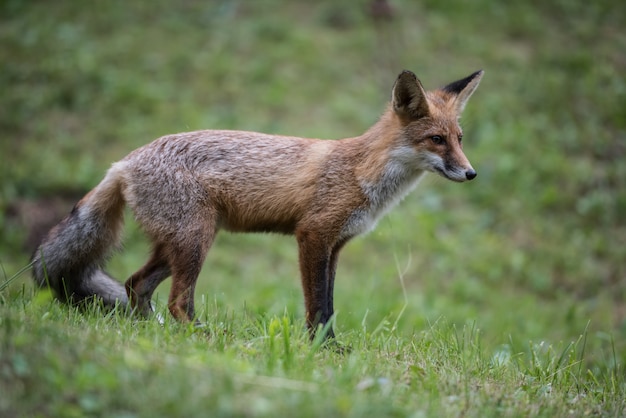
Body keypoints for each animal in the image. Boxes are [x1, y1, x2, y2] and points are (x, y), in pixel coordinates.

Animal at [31, 70, 482, 340]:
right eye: (436, 140)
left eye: (460, 138)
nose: (471, 173)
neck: (361, 172)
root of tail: (123, 162)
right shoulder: (313, 235)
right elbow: (318, 305)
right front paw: (323, 351)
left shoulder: (336, 245)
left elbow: (329, 304)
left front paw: (330, 350)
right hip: (195, 241)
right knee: (176, 301)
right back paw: (201, 337)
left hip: (178, 244)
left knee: (134, 285)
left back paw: (153, 334)